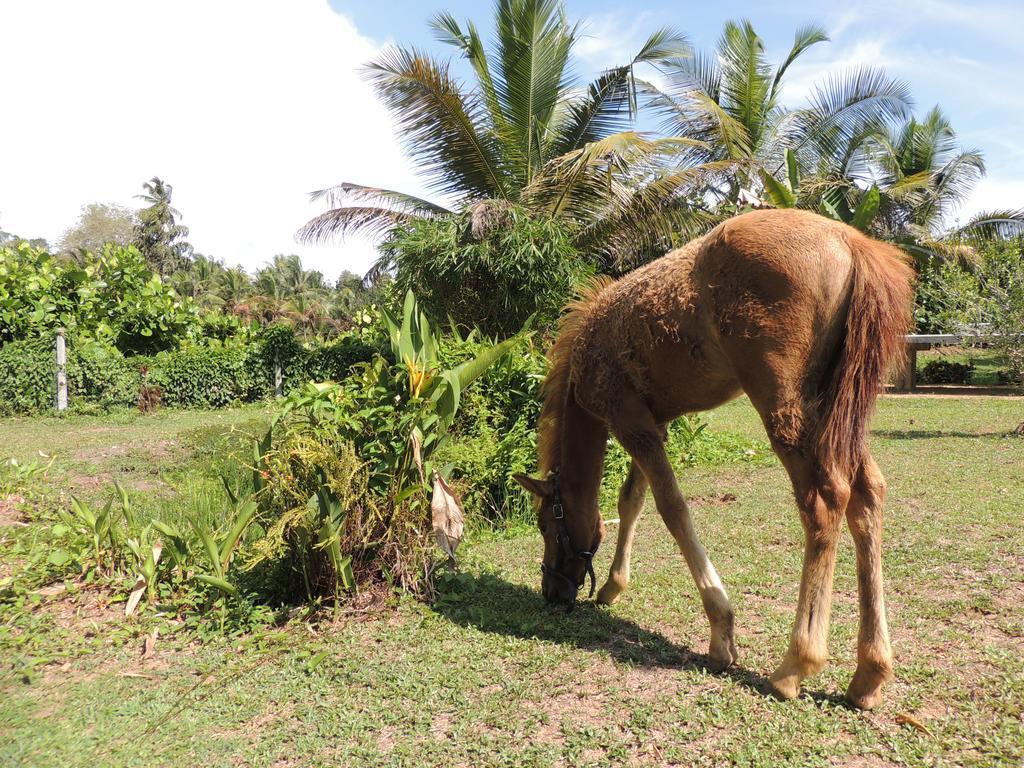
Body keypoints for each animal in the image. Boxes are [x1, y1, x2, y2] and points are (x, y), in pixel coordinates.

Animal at [512, 208, 913, 708]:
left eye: (547, 524)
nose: (552, 591)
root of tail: (849, 241)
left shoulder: (629, 420)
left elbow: (672, 509)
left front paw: (721, 634)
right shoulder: (653, 422)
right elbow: (631, 500)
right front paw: (611, 587)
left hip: (786, 408)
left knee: (824, 502)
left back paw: (795, 665)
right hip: (838, 410)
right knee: (867, 496)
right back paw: (870, 673)